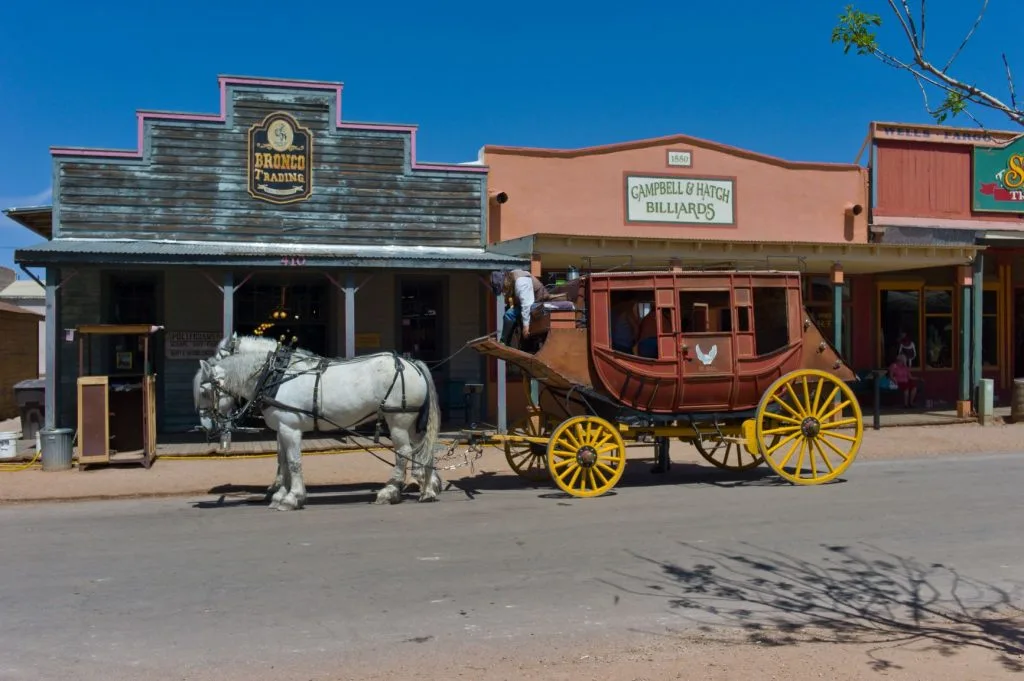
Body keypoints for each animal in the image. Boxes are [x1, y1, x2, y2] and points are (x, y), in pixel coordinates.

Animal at [193, 335, 442, 509]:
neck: (275, 375)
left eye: (204, 392)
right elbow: (283, 461)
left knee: (403, 453)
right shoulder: (281, 429)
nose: (206, 427)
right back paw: (428, 490)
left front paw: (292, 498)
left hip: (398, 421)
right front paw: (279, 493)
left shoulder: (290, 428)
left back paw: (390, 492)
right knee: (425, 451)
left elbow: (293, 462)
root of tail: (412, 363)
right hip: (413, 424)